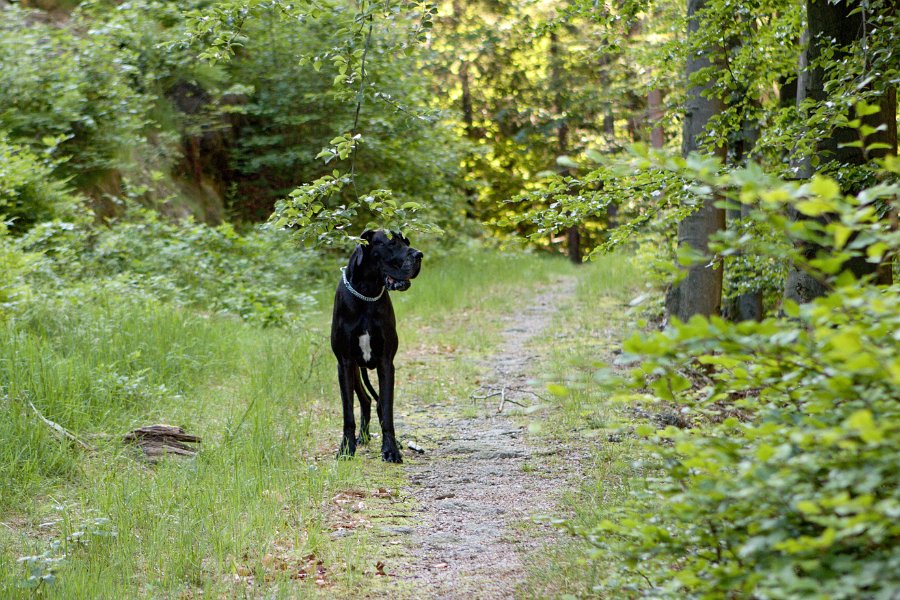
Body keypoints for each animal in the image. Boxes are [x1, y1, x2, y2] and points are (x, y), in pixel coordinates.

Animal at [332, 231, 424, 464]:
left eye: (407, 242)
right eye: (391, 243)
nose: (419, 255)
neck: (367, 296)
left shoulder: (386, 363)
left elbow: (387, 409)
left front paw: (391, 450)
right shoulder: (345, 363)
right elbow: (348, 413)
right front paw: (346, 449)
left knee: (376, 403)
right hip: (355, 370)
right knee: (365, 400)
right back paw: (361, 437)